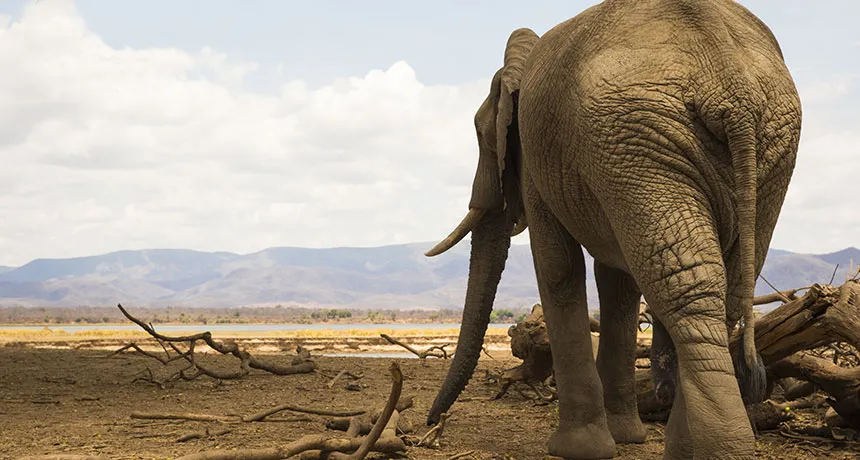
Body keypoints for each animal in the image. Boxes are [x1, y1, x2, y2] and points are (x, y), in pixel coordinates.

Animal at [423, 1, 802, 459]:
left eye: (481, 134)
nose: (431, 424)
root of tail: (731, 88)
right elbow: (619, 281)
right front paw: (624, 438)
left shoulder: (539, 160)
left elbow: (557, 267)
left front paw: (577, 449)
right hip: (744, 147)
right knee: (718, 285)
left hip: (641, 137)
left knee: (686, 285)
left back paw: (717, 448)